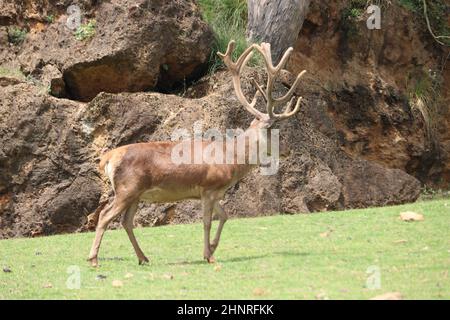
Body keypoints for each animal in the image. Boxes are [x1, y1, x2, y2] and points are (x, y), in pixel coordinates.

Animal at [87, 40, 306, 266]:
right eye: (275, 130)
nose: (287, 150)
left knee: (126, 221)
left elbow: (225, 216)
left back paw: (143, 257)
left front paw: (212, 248)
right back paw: (94, 259)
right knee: (105, 216)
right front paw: (209, 256)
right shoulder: (209, 187)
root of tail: (107, 158)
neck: (231, 161)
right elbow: (207, 222)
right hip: (127, 188)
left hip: (136, 193)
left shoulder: (212, 193)